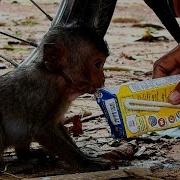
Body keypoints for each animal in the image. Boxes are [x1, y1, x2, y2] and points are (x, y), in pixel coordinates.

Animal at [0, 24, 109, 171]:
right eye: (98, 64)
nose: (103, 78)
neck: (56, 76)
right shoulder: (42, 93)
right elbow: (41, 130)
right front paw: (87, 162)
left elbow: (57, 125)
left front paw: (85, 156)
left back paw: (27, 156)